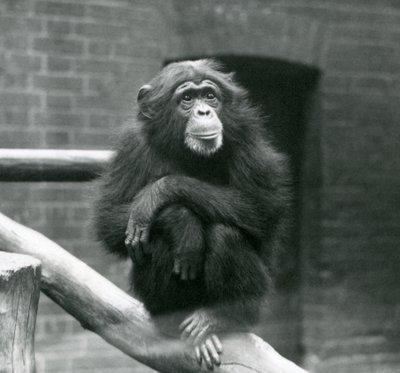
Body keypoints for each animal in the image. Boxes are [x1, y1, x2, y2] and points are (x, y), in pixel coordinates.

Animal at [95, 59, 292, 368]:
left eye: (209, 95)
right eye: (187, 98)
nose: (203, 111)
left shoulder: (247, 135)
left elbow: (262, 205)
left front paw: (159, 192)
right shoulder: (131, 146)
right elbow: (108, 216)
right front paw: (181, 221)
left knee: (225, 234)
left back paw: (221, 317)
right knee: (155, 238)